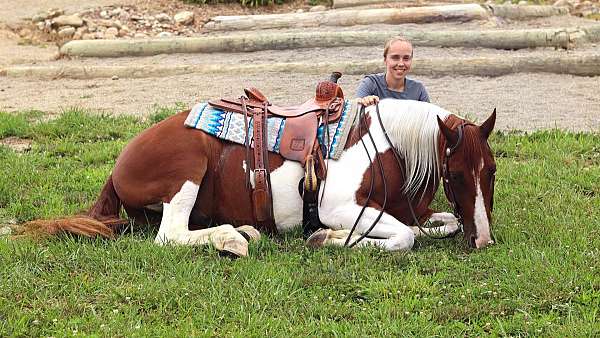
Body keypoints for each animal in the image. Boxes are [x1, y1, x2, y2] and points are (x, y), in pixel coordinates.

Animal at [24, 99, 496, 258]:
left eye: (490, 170)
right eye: (456, 173)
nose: (484, 240)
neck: (387, 147)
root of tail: (120, 162)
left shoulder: (411, 209)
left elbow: (441, 224)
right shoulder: (342, 207)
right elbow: (405, 237)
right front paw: (327, 238)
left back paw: (244, 230)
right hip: (188, 170)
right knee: (170, 235)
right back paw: (233, 239)